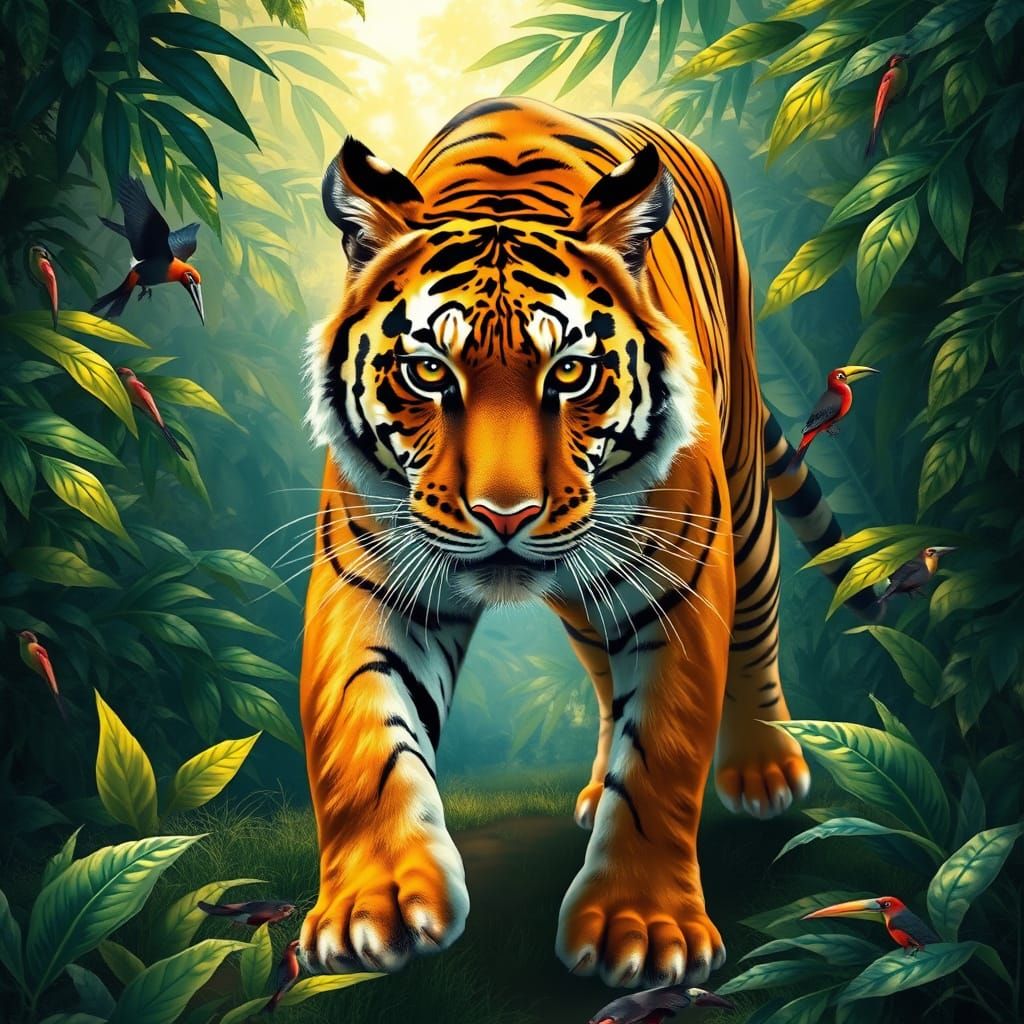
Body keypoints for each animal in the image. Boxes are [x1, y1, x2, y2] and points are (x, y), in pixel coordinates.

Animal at [299, 96, 874, 988]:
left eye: (570, 373)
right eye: (429, 372)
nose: (505, 514)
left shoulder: (682, 579)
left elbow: (664, 751)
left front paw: (643, 927)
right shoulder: (367, 580)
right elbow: (360, 736)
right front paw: (376, 902)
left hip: (742, 497)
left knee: (758, 627)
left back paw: (764, 765)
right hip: (583, 590)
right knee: (606, 679)